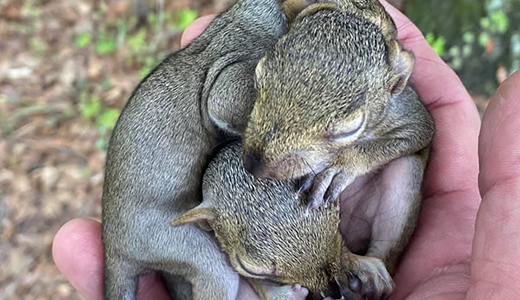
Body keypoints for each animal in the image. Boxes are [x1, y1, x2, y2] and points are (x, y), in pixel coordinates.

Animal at [244, 0, 434, 284]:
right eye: (258, 79)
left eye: (349, 130)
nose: (254, 166)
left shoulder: (410, 116)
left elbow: (416, 133)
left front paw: (337, 168)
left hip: (406, 177)